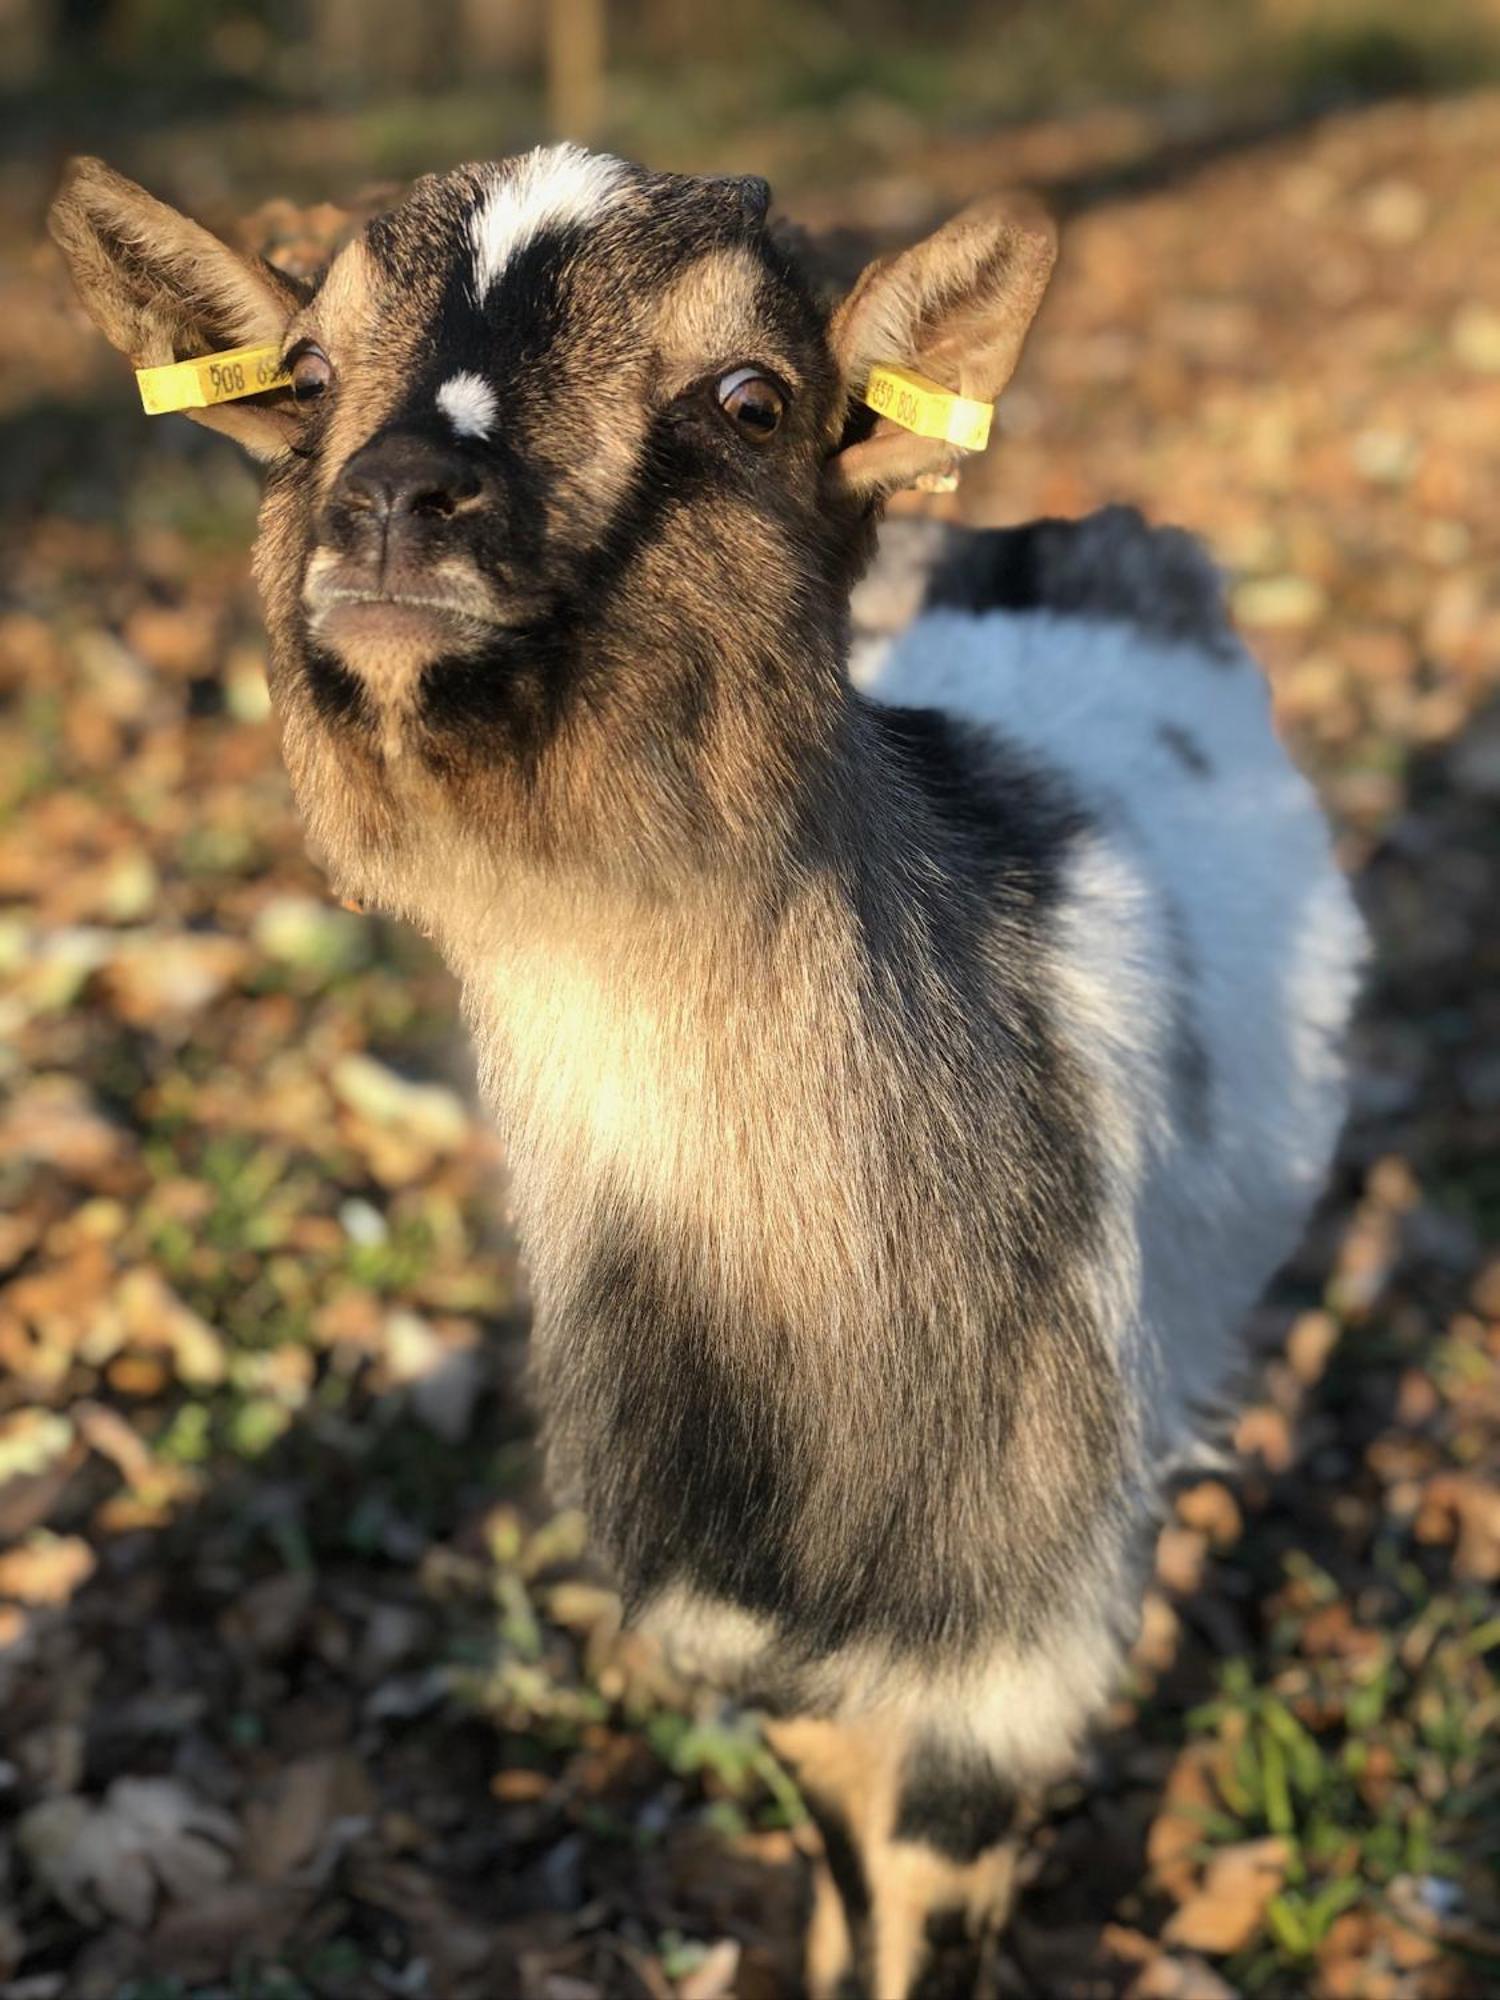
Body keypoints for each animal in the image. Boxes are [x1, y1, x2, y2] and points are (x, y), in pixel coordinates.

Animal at [47, 148, 1368, 1992]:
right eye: (304, 377)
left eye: (753, 398)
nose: (395, 506)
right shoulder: (761, 1645)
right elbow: (838, 1870)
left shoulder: (1013, 1665)